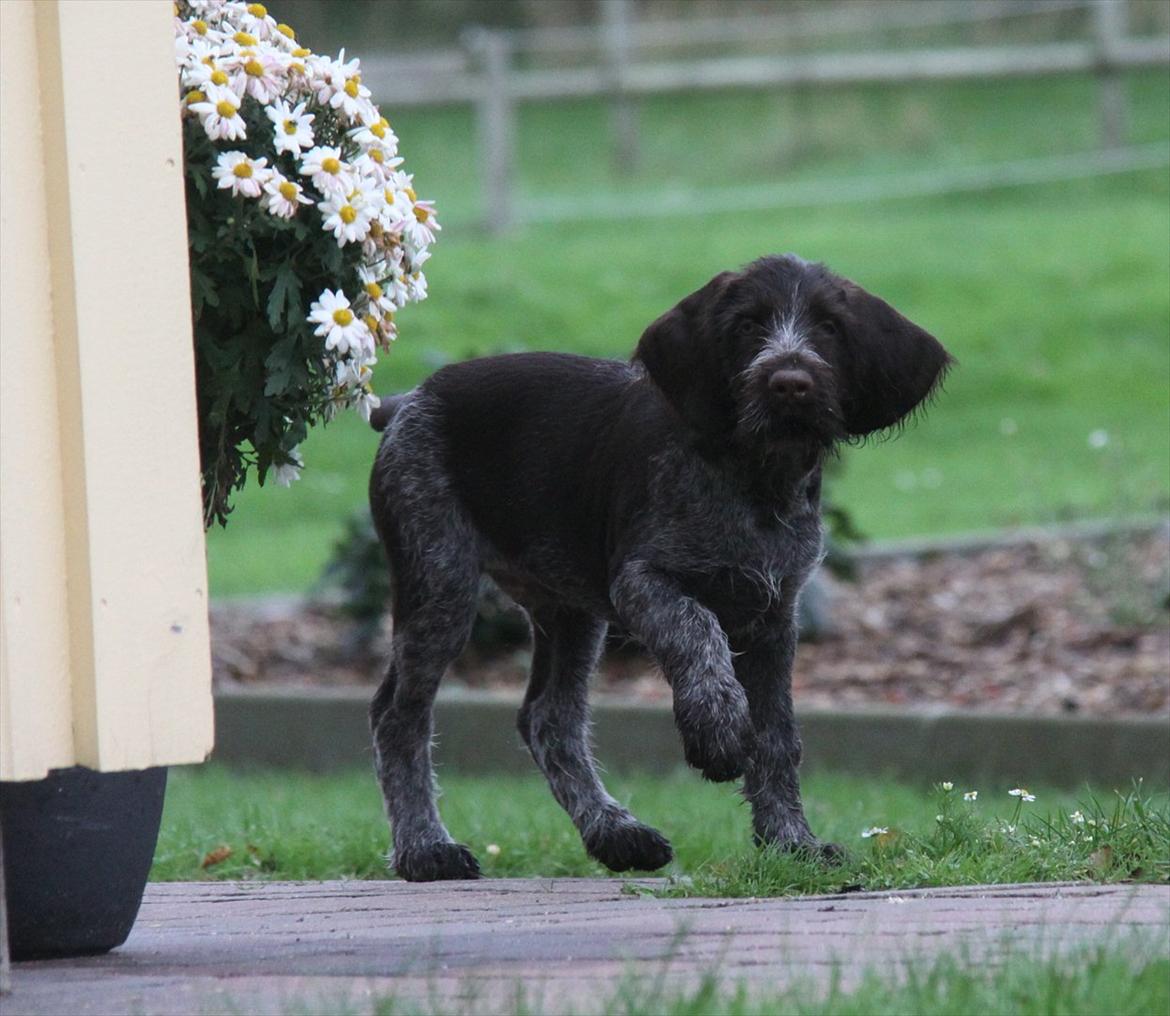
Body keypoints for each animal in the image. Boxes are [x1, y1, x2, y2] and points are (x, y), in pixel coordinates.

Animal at [365, 254, 950, 880]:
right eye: (747, 325)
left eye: (830, 328)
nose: (790, 383)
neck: (755, 477)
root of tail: (407, 402)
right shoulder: (642, 581)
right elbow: (698, 630)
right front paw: (717, 729)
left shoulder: (776, 616)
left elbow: (777, 737)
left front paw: (792, 842)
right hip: (440, 578)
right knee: (398, 716)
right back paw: (425, 848)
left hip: (567, 609)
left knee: (548, 719)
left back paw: (615, 833)